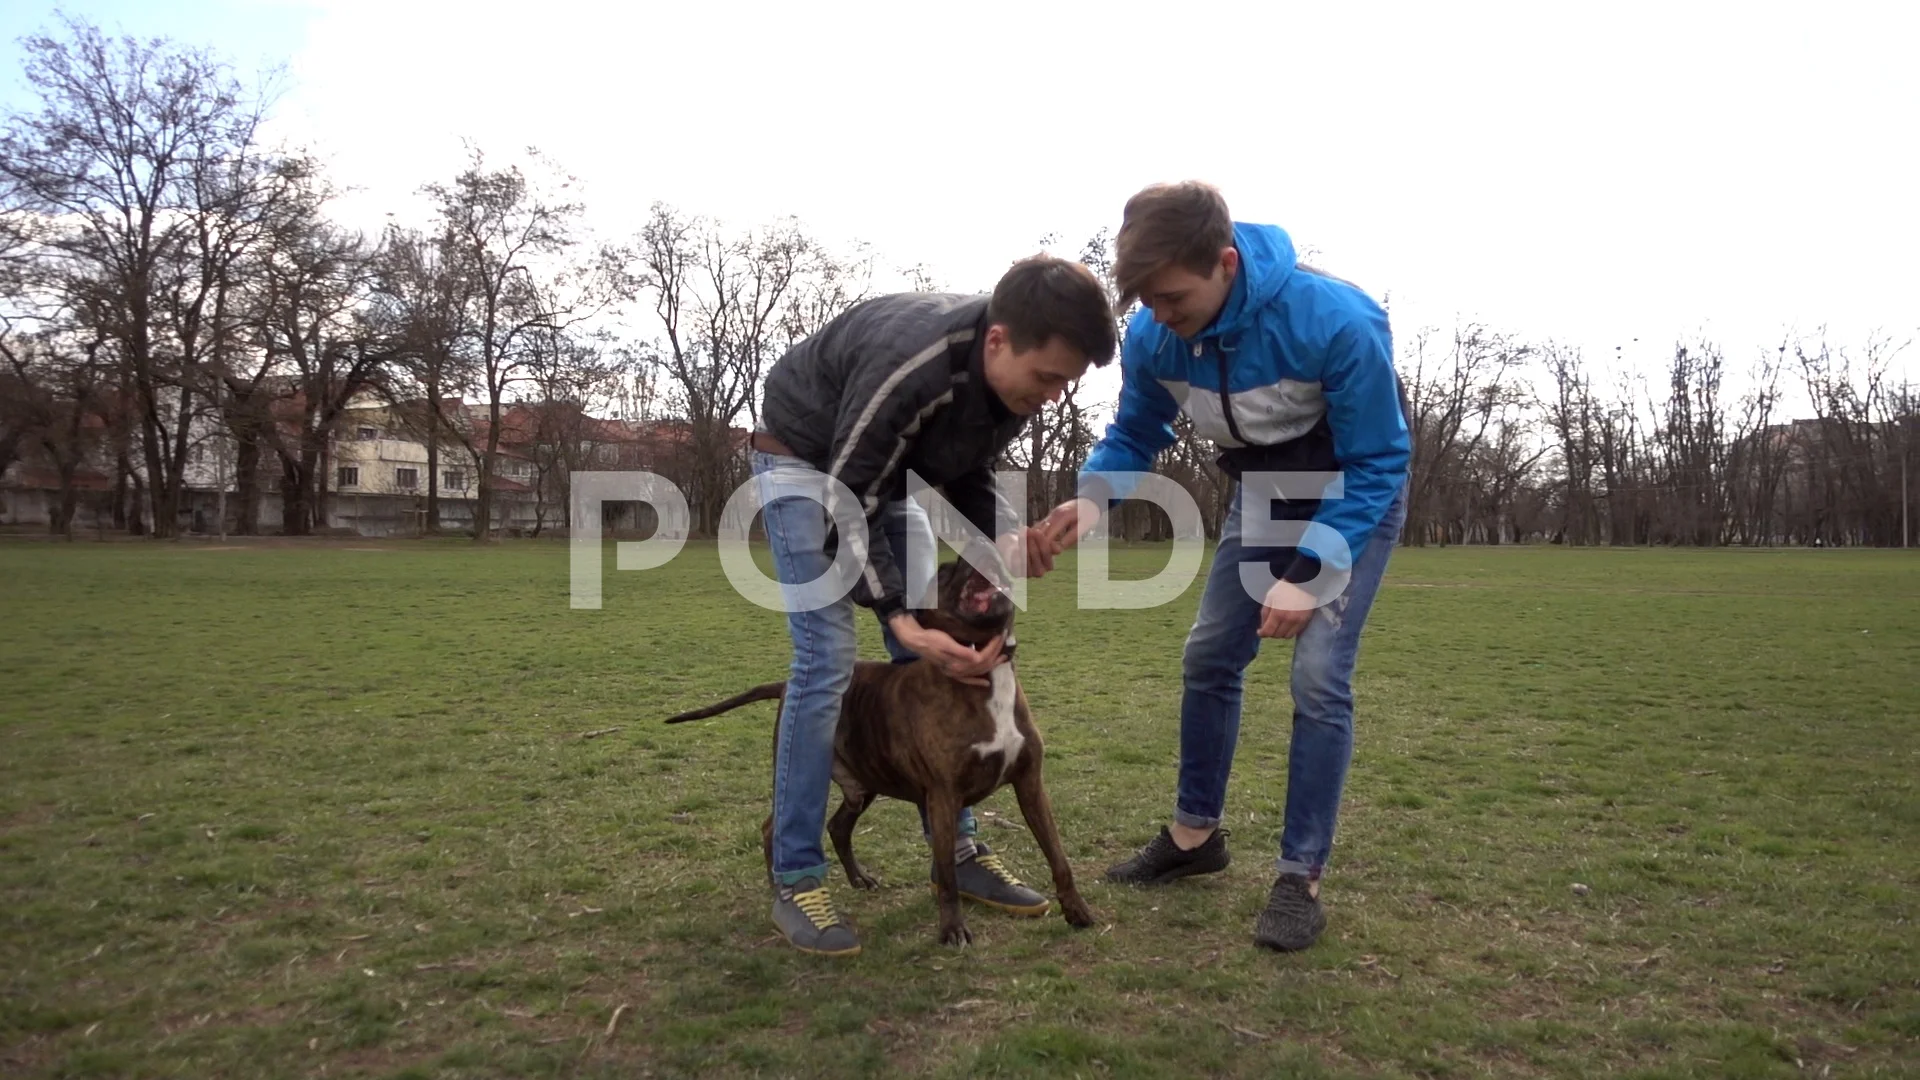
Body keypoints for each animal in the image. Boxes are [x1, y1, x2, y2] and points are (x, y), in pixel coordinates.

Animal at [668, 553, 1098, 941]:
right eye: (945, 571)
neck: (985, 673)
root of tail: (787, 686)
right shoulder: (943, 796)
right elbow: (947, 876)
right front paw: (952, 929)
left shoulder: (1030, 786)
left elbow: (1058, 856)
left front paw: (1076, 910)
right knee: (773, 826)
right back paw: (783, 889)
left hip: (862, 784)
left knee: (838, 827)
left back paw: (859, 878)